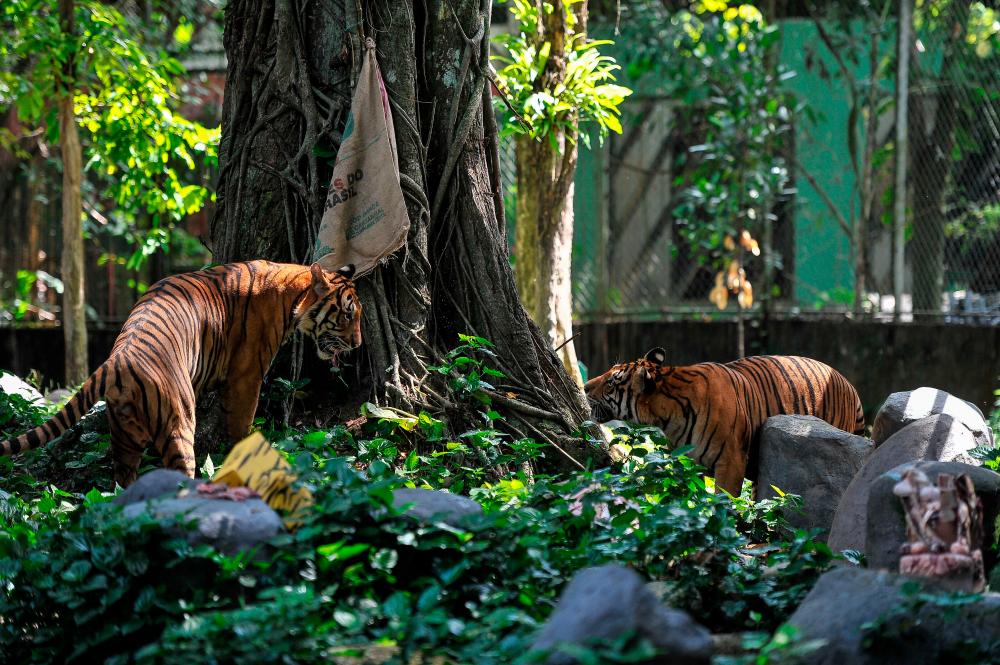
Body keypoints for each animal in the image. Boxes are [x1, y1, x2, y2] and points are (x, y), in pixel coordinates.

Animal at [1, 260, 362, 486]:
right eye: (347, 315)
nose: (358, 344)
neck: (293, 291)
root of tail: (117, 362)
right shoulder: (247, 375)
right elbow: (242, 422)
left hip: (124, 437)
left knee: (122, 480)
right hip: (179, 425)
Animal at [584, 348, 865, 496]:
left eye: (610, 382)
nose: (585, 386)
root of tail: (848, 383)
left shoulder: (731, 462)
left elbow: (724, 501)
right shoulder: (688, 464)